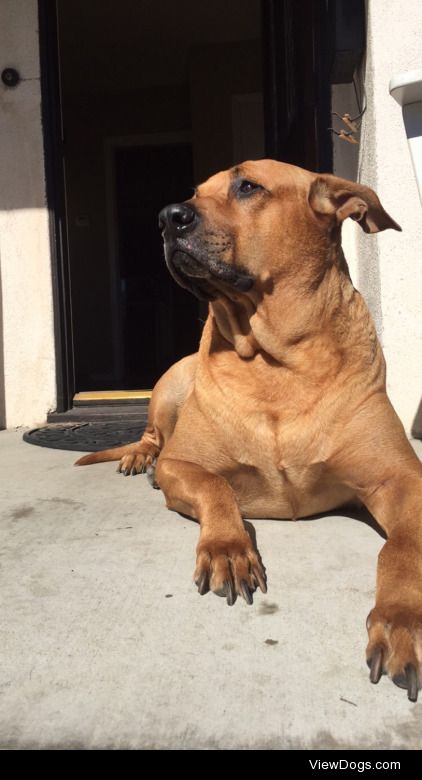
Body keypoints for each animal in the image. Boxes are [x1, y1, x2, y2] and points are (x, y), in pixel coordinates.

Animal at [77, 161, 422, 704]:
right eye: (195, 192)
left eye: (248, 186)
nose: (167, 217)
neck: (277, 361)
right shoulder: (185, 464)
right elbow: (215, 485)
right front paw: (228, 547)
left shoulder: (403, 480)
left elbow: (402, 548)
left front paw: (402, 617)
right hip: (172, 382)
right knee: (153, 437)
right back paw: (139, 459)